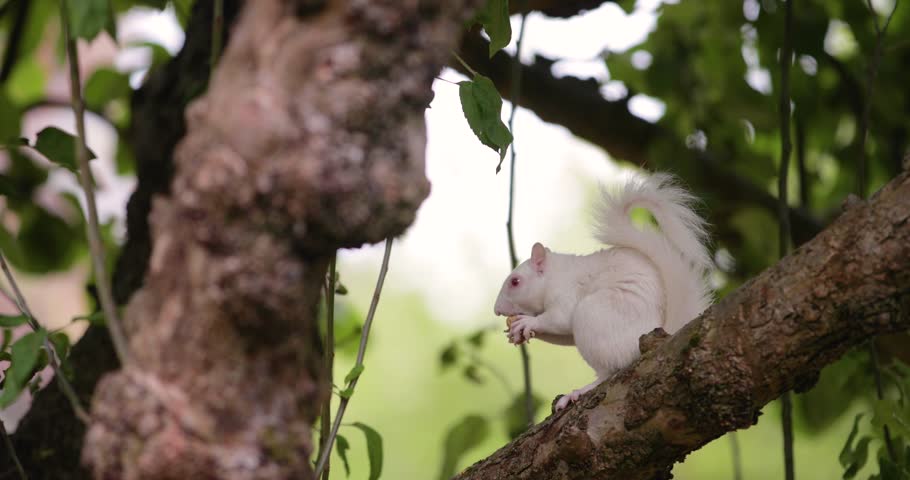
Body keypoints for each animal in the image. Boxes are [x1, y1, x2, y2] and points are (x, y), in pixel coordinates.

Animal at [493, 173, 714, 411]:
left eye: (515, 282)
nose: (497, 310)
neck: (554, 275)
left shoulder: (566, 293)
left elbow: (560, 319)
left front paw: (527, 322)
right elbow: (562, 334)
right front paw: (517, 331)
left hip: (594, 315)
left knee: (607, 373)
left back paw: (577, 392)